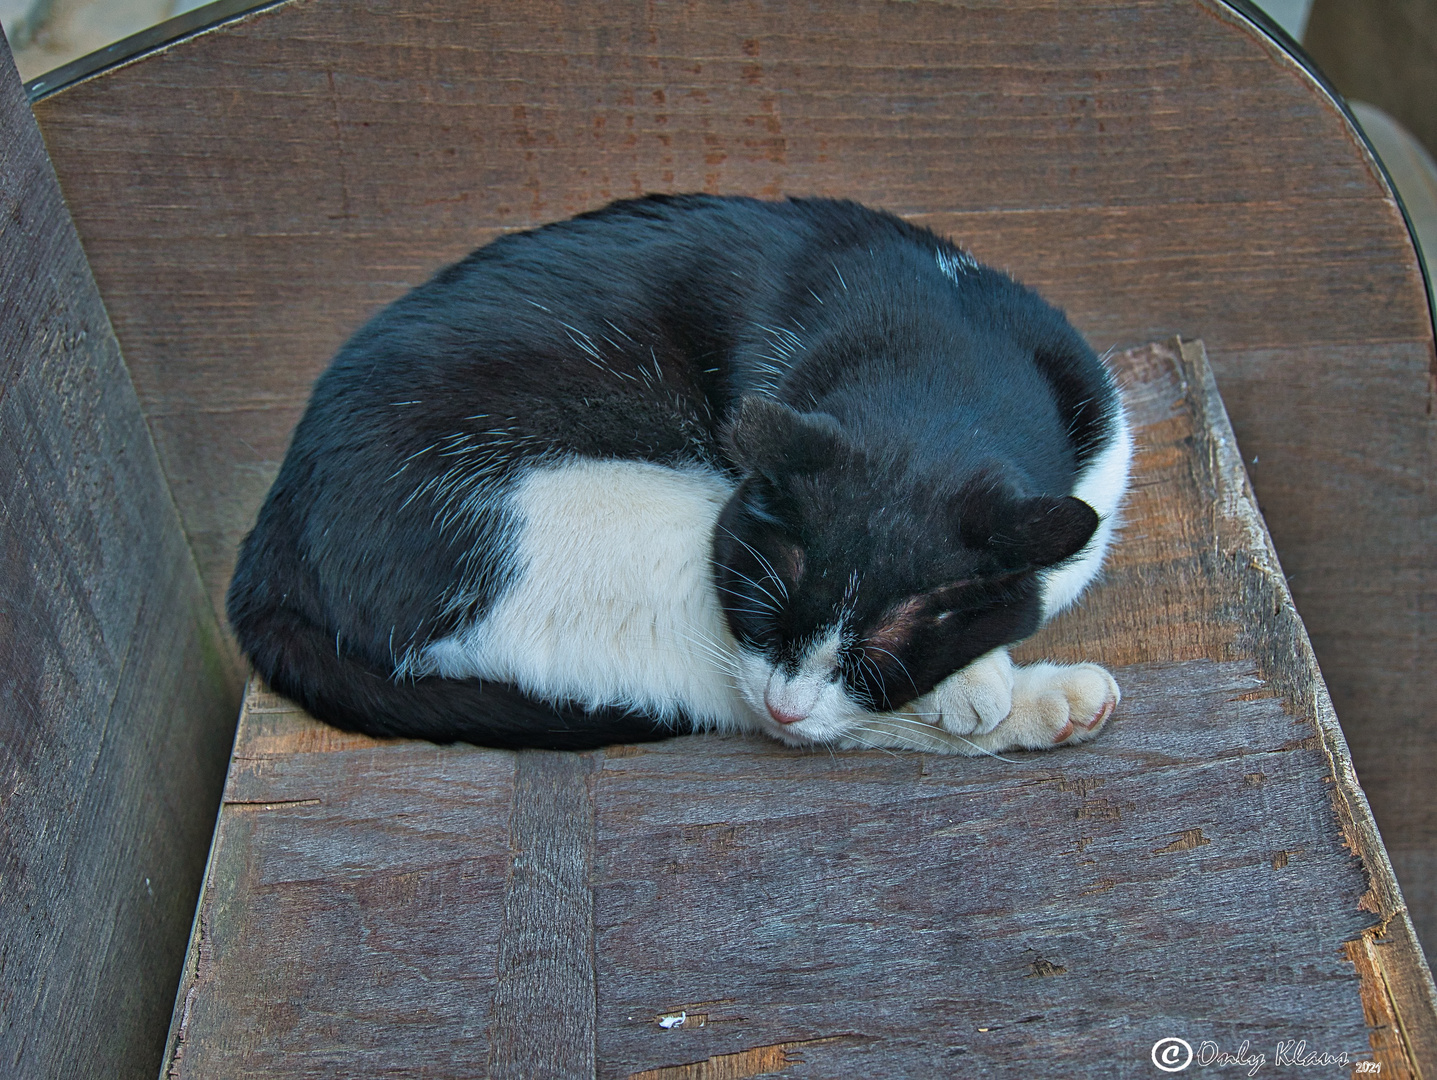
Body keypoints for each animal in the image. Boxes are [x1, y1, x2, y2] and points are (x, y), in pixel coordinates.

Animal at [224, 192, 1126, 752]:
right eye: (760, 608)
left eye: (881, 652)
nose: (790, 695)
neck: (944, 343)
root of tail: (267, 547)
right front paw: (973, 686)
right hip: (610, 528)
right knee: (732, 705)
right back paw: (1046, 703)